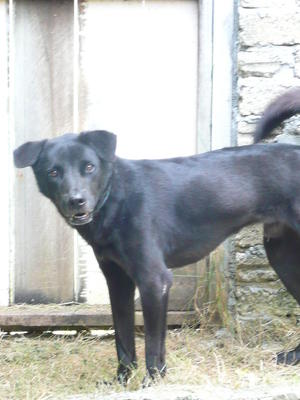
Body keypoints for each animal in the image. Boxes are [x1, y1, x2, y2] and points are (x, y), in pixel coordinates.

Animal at [13, 87, 300, 382]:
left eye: (89, 167)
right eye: (53, 172)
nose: (76, 201)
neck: (116, 198)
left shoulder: (154, 279)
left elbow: (153, 342)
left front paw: (152, 379)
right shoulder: (118, 280)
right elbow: (123, 337)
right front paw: (122, 378)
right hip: (282, 257)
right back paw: (293, 357)